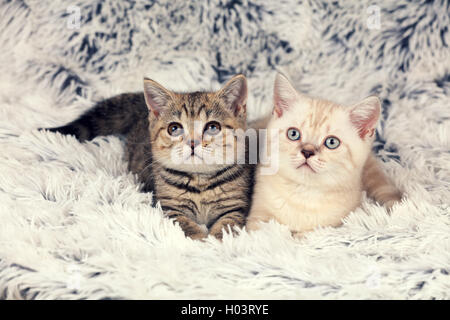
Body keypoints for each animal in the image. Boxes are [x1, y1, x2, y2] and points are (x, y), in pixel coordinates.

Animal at [48, 75, 256, 240]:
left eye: (213, 127)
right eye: (174, 128)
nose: (192, 143)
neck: (200, 182)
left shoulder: (235, 206)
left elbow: (227, 224)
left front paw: (216, 240)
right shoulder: (169, 206)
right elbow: (184, 223)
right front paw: (200, 237)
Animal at [248, 73, 402, 235]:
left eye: (332, 142)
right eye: (293, 134)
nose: (307, 152)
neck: (304, 194)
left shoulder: (334, 223)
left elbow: (308, 233)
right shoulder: (257, 216)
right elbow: (262, 233)